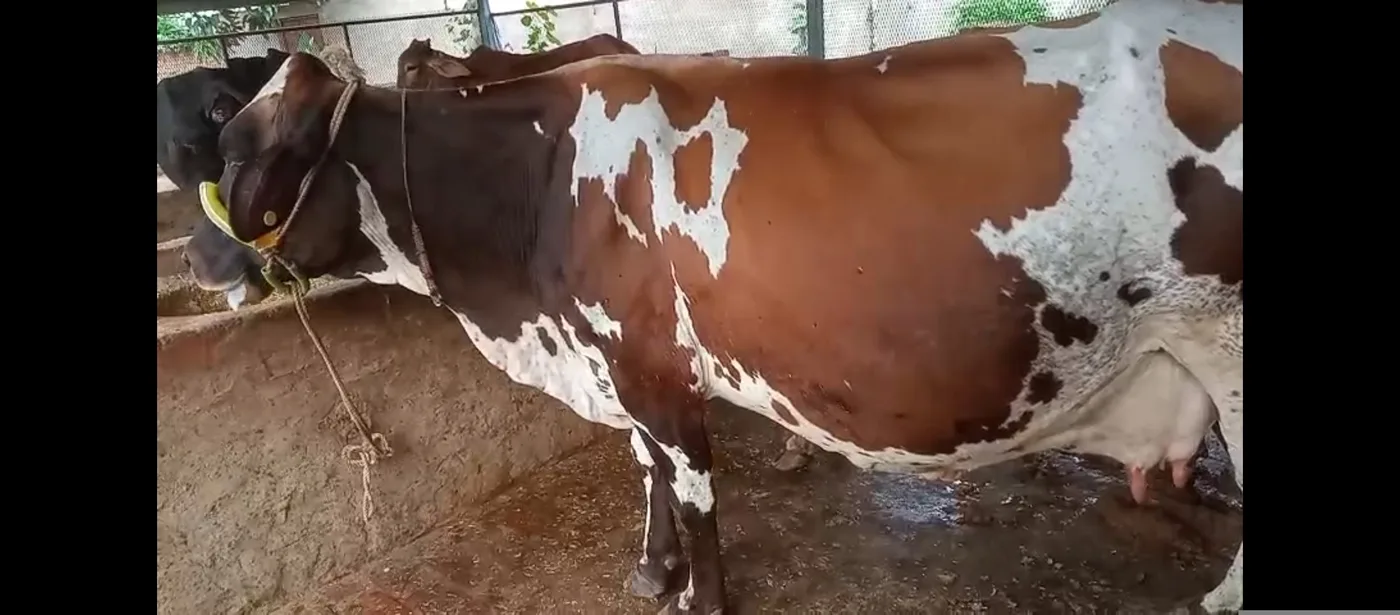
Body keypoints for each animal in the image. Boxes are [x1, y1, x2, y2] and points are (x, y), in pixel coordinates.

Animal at [196, 0, 1244, 612]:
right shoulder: (619, 358)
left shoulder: (652, 363)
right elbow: (646, 469)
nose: (203, 262)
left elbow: (696, 490)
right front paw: (652, 567)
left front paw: (698, 593)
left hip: (1227, 342)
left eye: (246, 157)